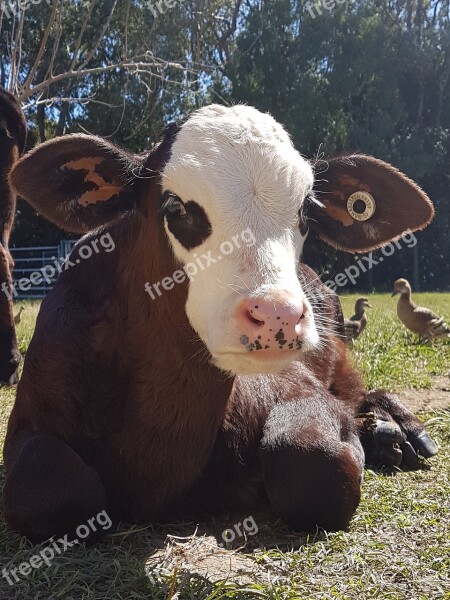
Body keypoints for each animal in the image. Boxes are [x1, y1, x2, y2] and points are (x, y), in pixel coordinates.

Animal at [4, 104, 440, 544]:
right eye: (175, 208)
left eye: (305, 211)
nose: (278, 314)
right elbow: (50, 488)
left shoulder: (299, 387)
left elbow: (314, 462)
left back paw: (395, 428)